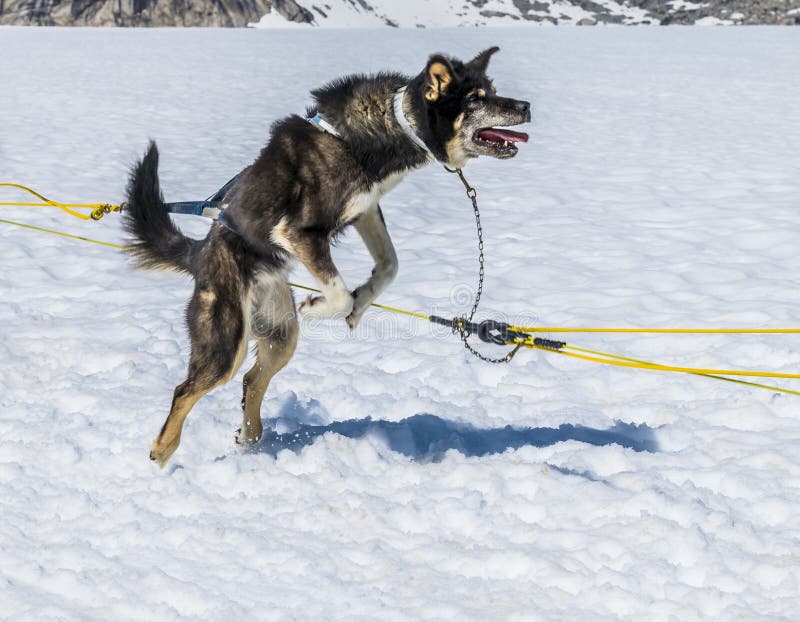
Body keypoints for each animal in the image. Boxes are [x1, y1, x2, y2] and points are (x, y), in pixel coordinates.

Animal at [126, 50, 532, 468]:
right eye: (475, 99)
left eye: (492, 91)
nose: (525, 107)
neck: (380, 128)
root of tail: (200, 252)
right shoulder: (297, 232)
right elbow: (338, 293)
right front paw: (321, 305)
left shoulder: (365, 209)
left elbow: (390, 264)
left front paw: (362, 302)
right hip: (226, 340)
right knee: (185, 390)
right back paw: (162, 453)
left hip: (280, 334)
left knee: (252, 380)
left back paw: (250, 437)